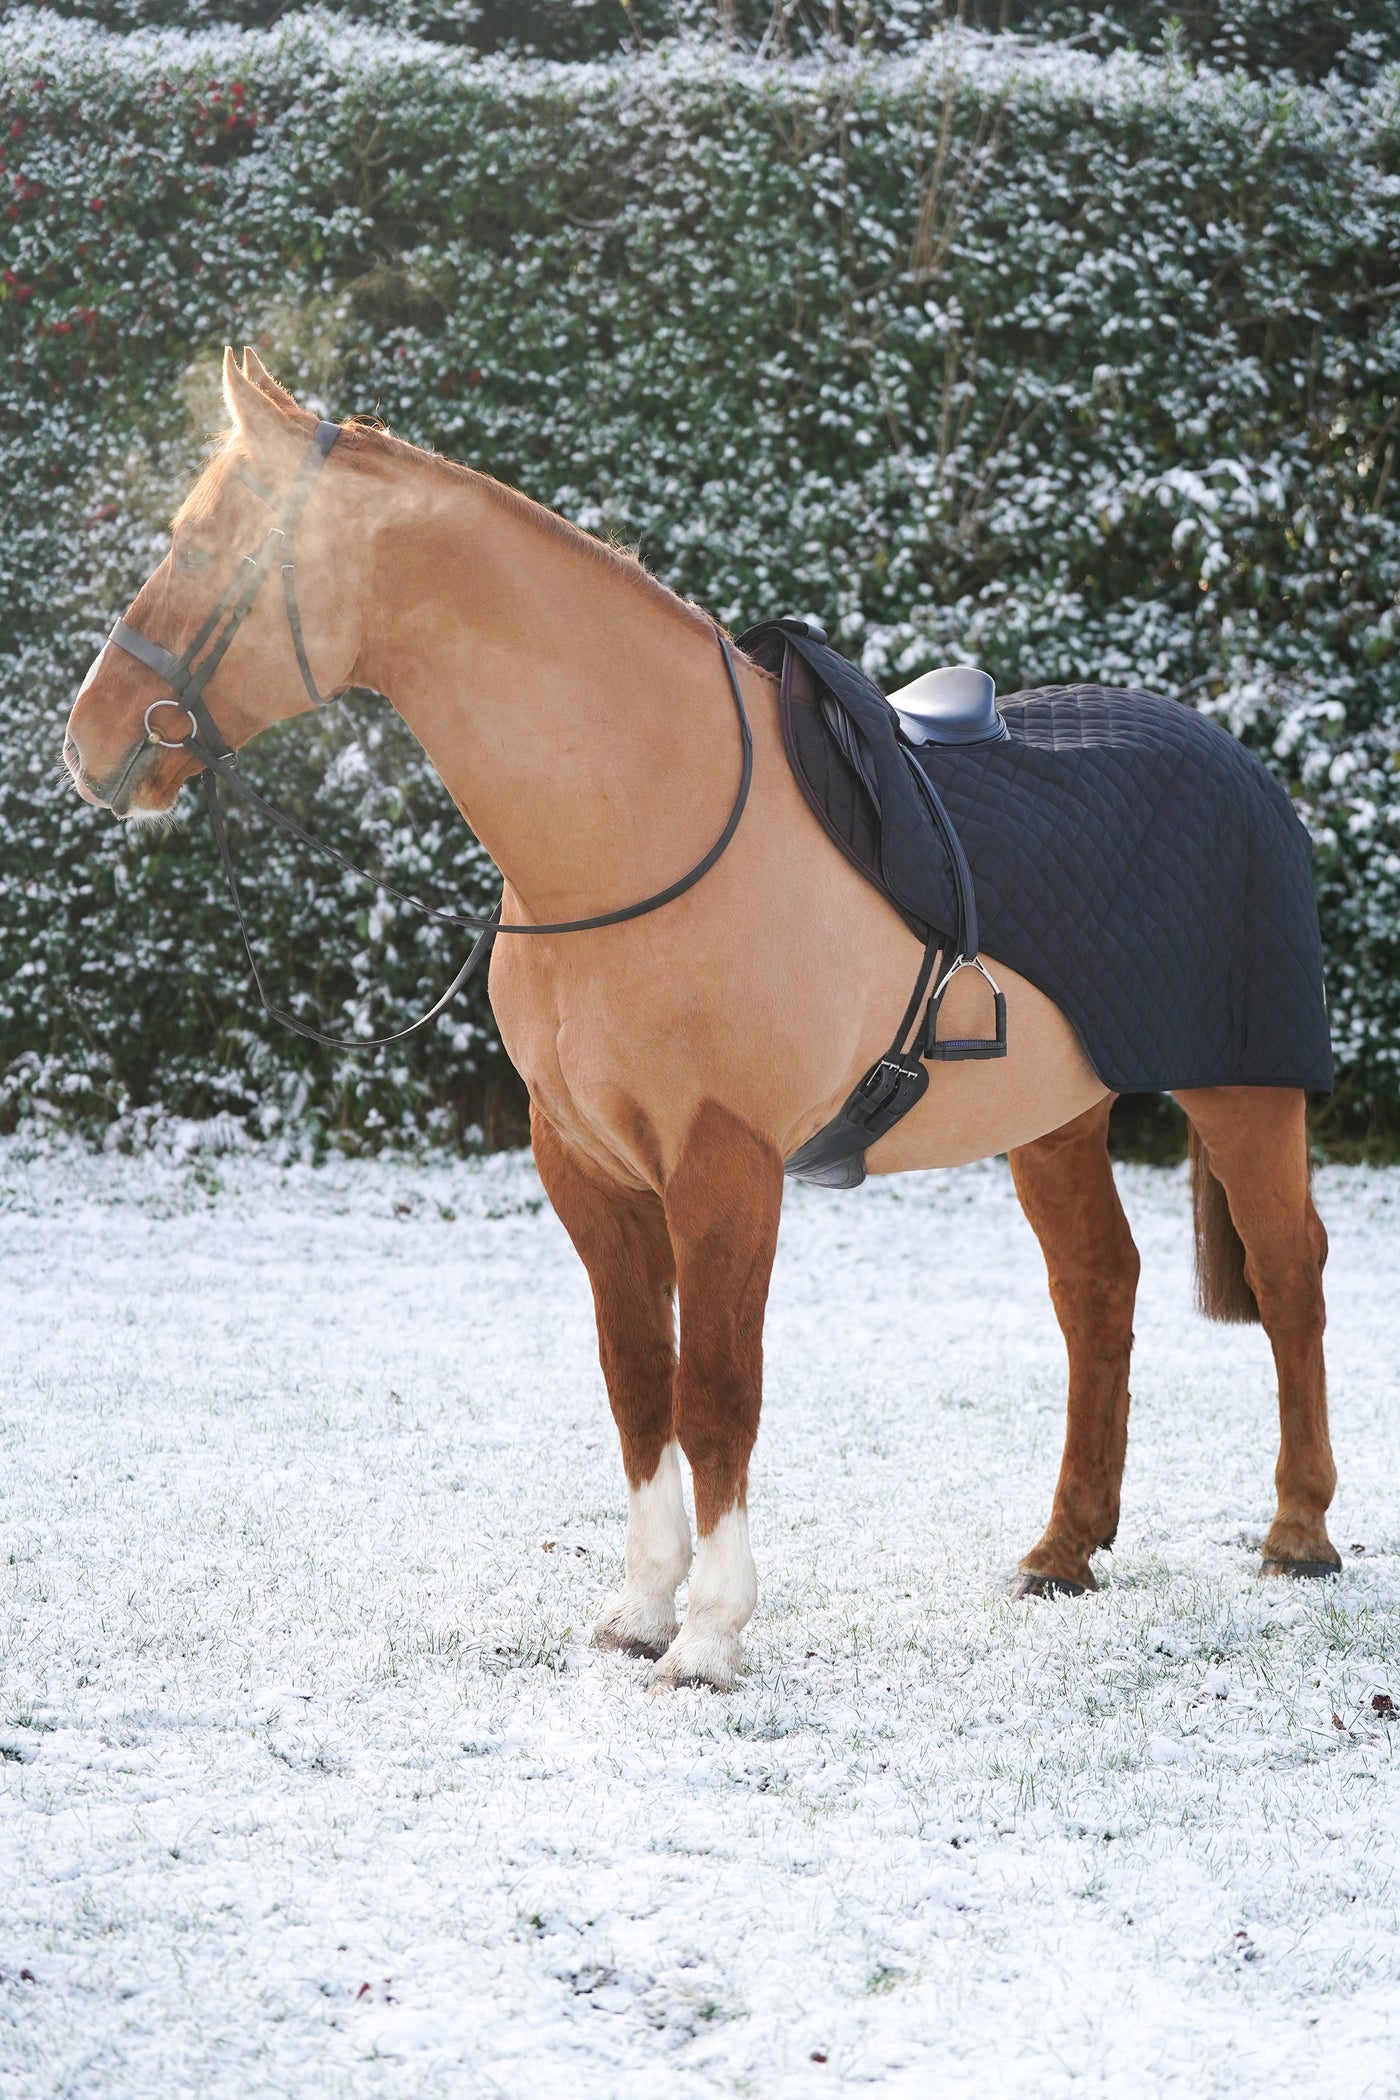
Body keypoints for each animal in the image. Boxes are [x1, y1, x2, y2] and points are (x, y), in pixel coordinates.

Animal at [62, 349, 1339, 1690]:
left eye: (200, 547)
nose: (88, 744)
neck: (640, 825)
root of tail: (1235, 762)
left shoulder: (723, 1164)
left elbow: (717, 1389)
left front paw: (711, 1633)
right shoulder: (585, 1167)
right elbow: (640, 1382)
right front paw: (638, 1608)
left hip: (1242, 1091)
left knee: (1288, 1273)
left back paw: (1296, 1532)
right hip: (1053, 1120)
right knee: (1097, 1290)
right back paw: (1062, 1549)